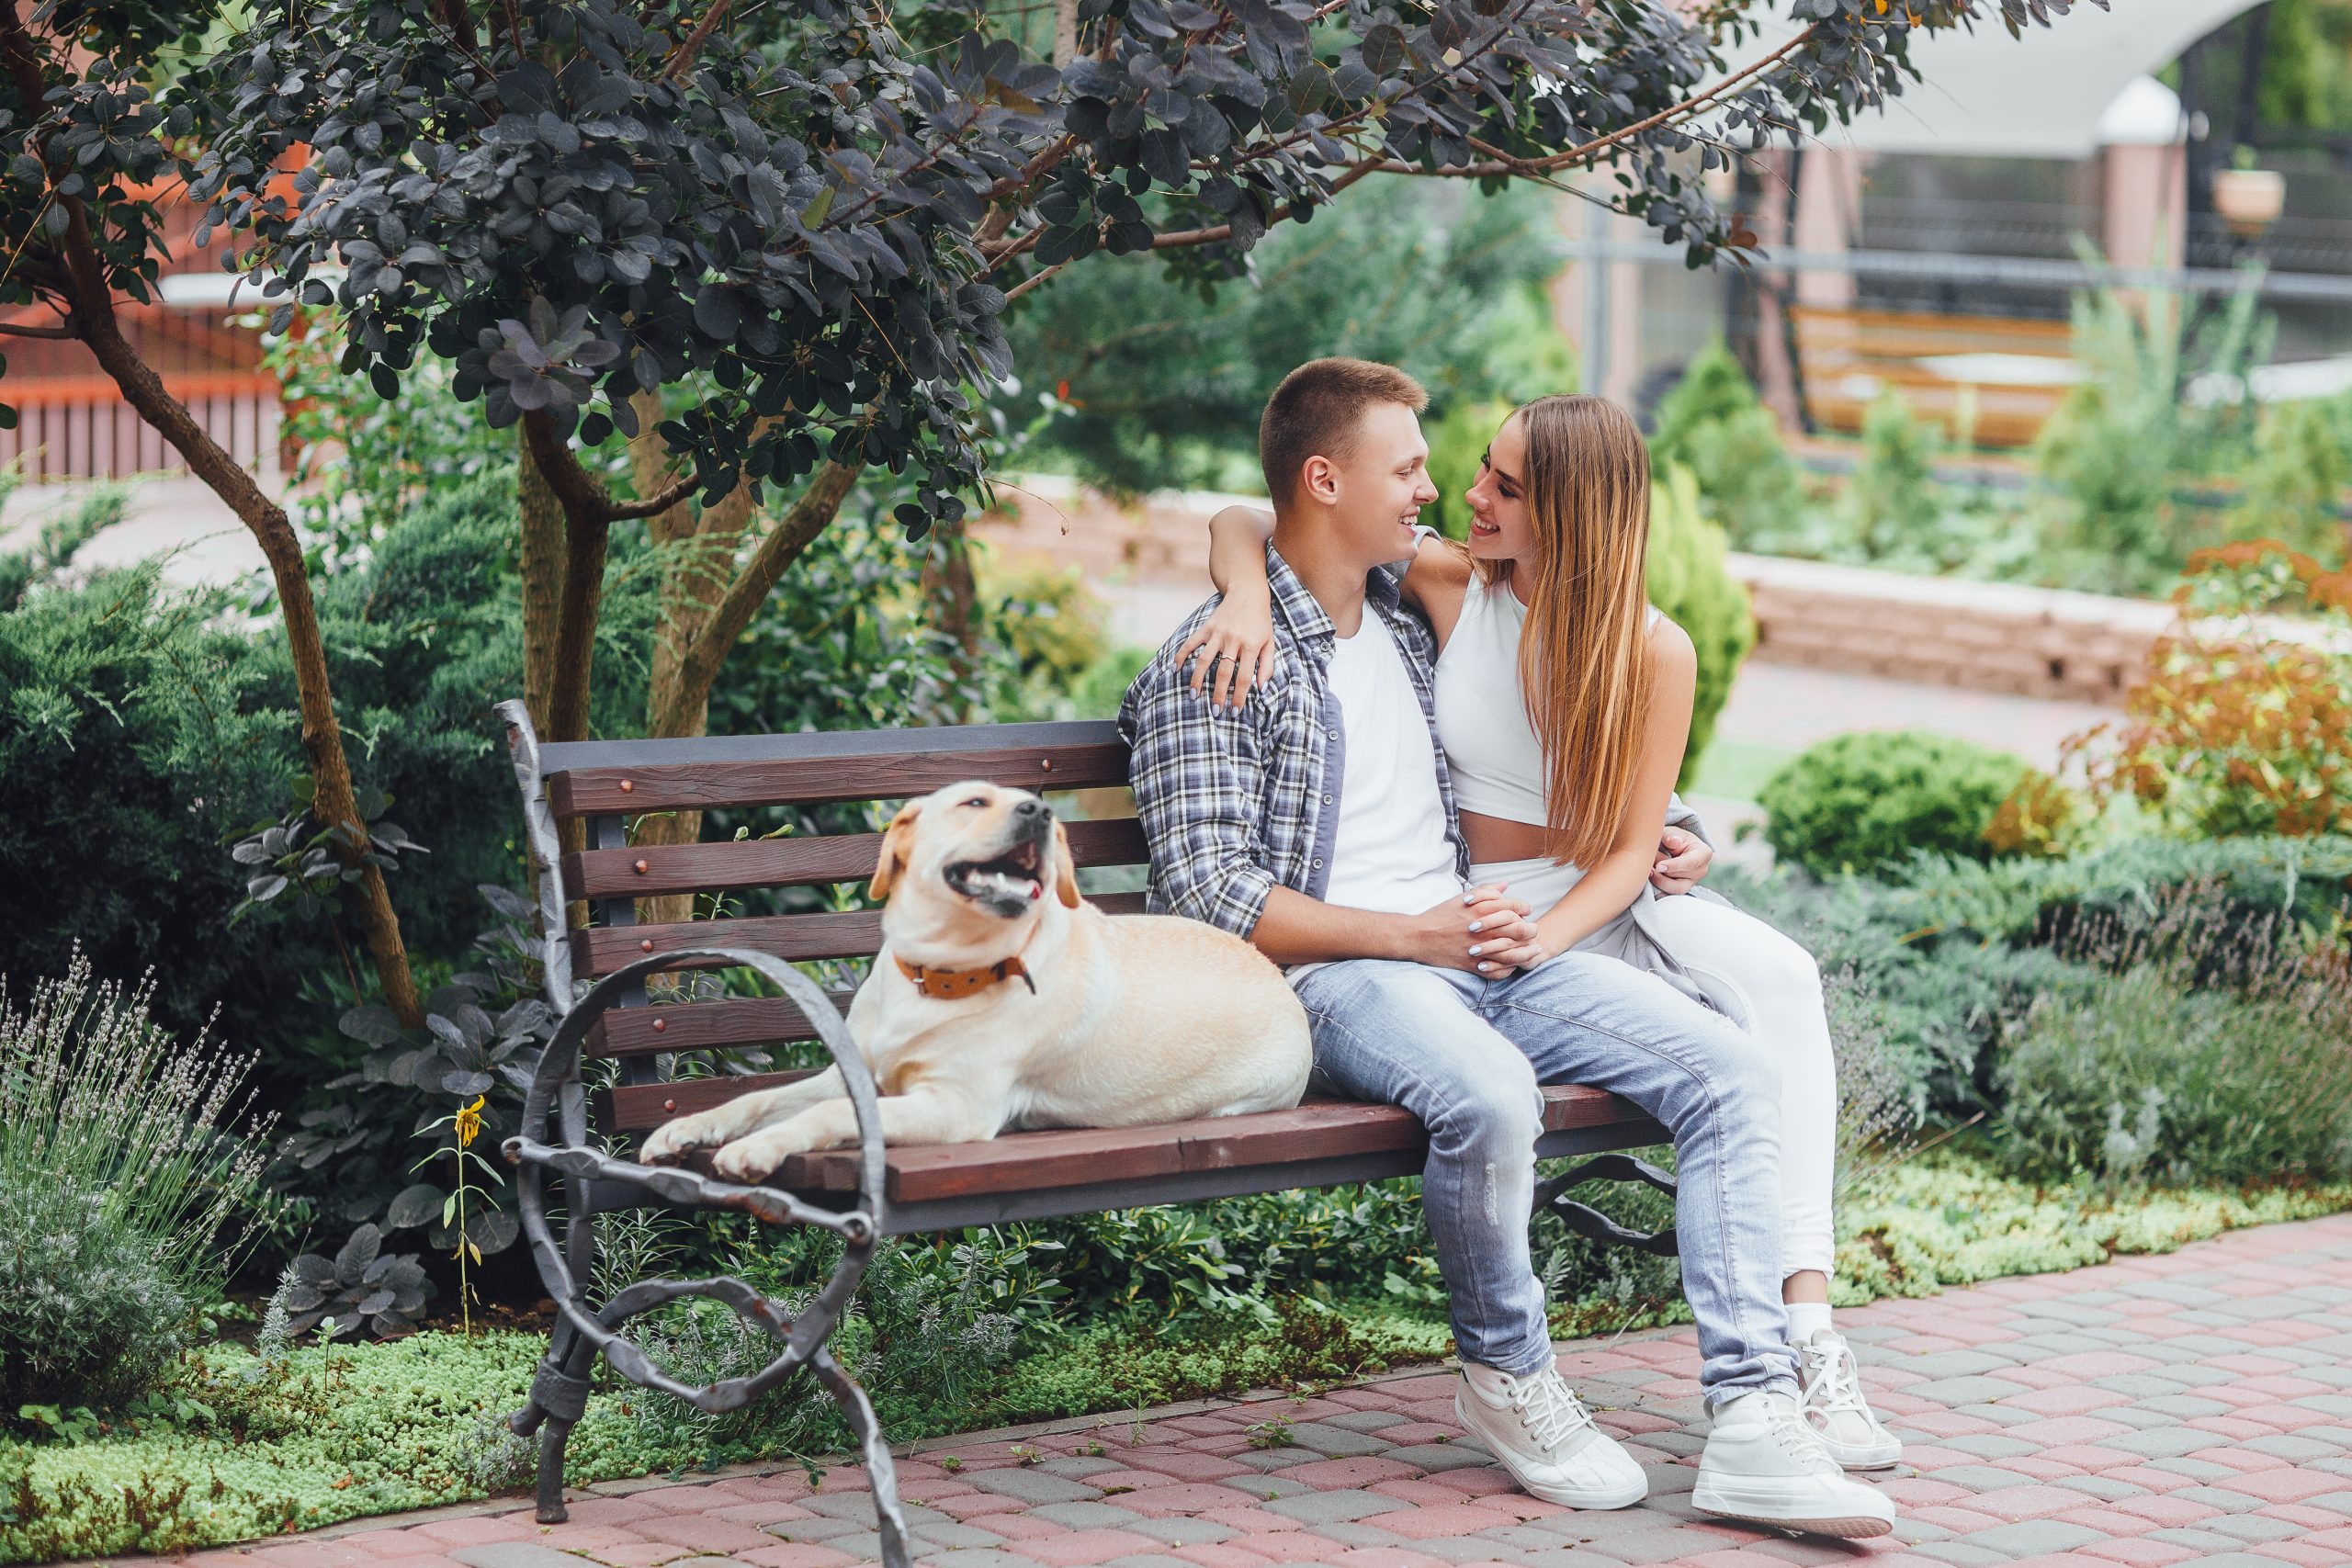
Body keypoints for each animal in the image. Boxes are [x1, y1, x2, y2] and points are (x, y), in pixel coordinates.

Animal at [635, 780, 1317, 1184]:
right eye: (974, 803)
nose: (1040, 811)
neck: (938, 974)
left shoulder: (954, 1106)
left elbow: (829, 1112)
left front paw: (759, 1149)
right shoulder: (851, 1071)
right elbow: (758, 1098)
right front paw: (683, 1128)